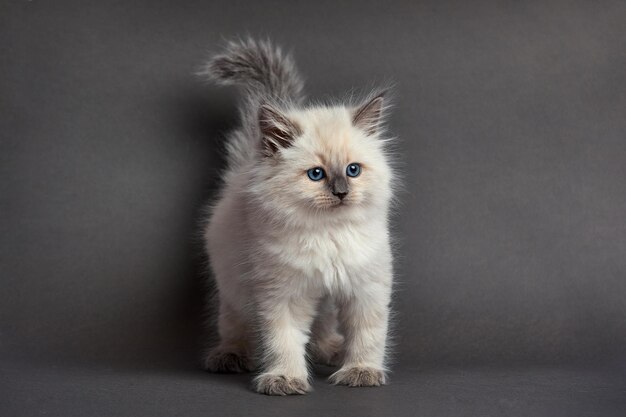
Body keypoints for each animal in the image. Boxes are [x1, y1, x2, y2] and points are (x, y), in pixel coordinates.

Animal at [200, 38, 394, 394]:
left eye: (353, 170)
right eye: (316, 174)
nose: (341, 192)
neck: (329, 233)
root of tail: (244, 171)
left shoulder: (366, 287)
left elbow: (368, 336)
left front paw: (360, 371)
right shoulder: (282, 293)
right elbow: (284, 340)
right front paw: (285, 379)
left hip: (325, 303)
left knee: (322, 328)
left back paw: (332, 351)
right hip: (234, 287)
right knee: (235, 325)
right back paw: (230, 356)